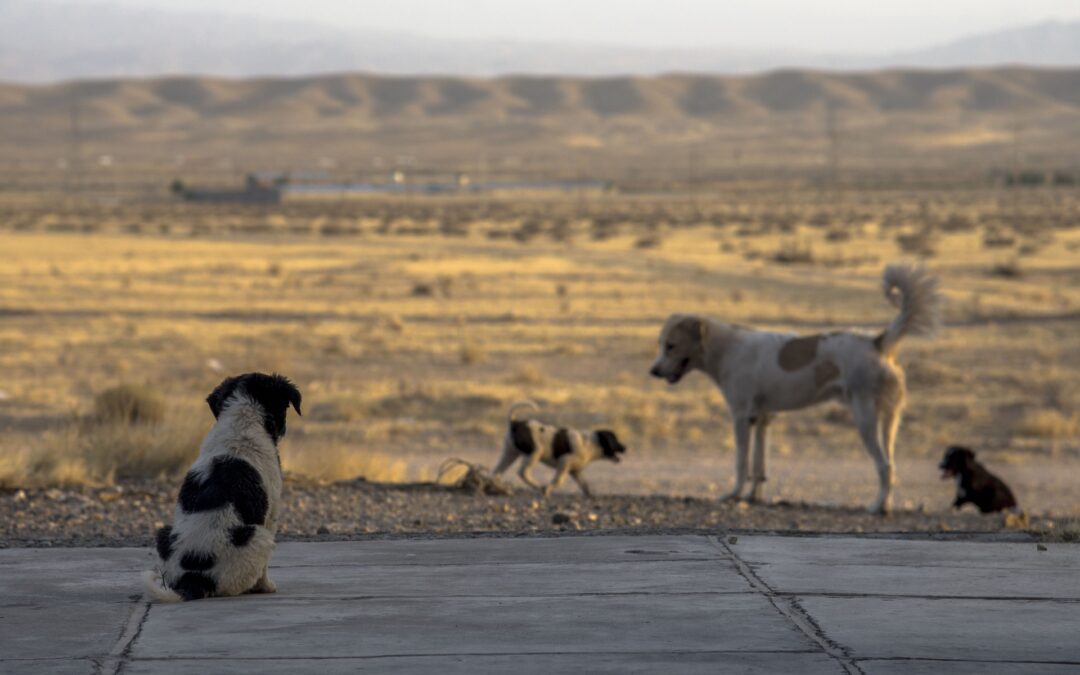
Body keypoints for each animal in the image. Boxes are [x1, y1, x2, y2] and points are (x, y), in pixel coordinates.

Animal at [143, 373, 302, 600]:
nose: (283, 430)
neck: (242, 420)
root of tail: (194, 579)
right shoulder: (271, 513)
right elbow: (264, 570)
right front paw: (267, 586)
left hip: (163, 534)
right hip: (258, 537)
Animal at [490, 399, 626, 494]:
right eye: (615, 440)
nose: (625, 447)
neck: (591, 443)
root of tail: (515, 422)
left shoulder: (575, 471)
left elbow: (585, 485)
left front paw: (591, 495)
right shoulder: (564, 462)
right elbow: (558, 481)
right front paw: (547, 489)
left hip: (510, 453)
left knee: (497, 472)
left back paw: (497, 487)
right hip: (534, 453)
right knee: (523, 472)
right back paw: (538, 485)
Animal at [648, 263, 937, 509]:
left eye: (671, 345)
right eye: (661, 344)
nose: (653, 371)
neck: (727, 348)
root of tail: (877, 342)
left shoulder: (741, 417)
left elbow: (741, 463)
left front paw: (734, 495)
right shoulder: (762, 418)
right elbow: (759, 465)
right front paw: (753, 497)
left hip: (865, 418)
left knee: (884, 466)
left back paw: (877, 507)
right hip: (890, 421)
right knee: (892, 464)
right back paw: (885, 504)